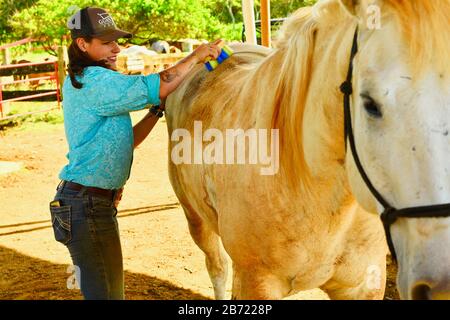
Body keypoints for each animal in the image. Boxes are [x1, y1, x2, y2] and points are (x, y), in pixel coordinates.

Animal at [165, 0, 450, 300]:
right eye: (369, 103)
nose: (439, 286)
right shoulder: (256, 285)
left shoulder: (362, 285)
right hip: (195, 219)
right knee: (217, 267)